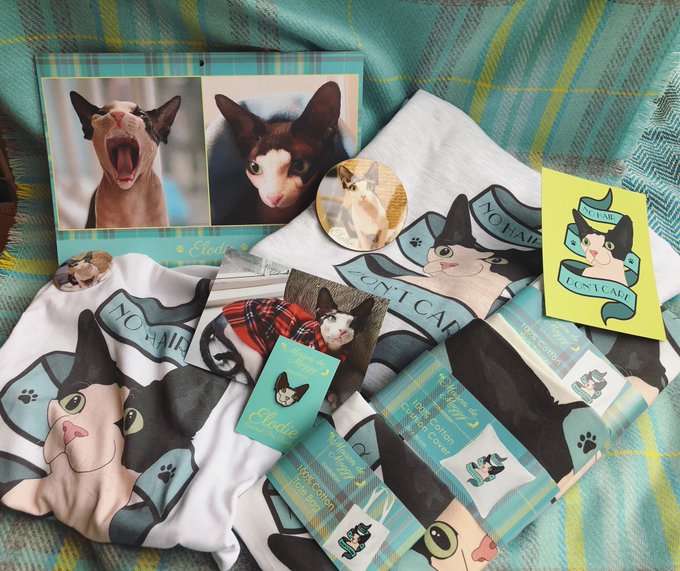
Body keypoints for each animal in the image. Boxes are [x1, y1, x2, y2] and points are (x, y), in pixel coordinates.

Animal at [200, 287, 374, 385]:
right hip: (254, 351)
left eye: (353, 325)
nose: (342, 331)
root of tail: (218, 317)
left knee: (238, 358)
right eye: (332, 318)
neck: (330, 351)